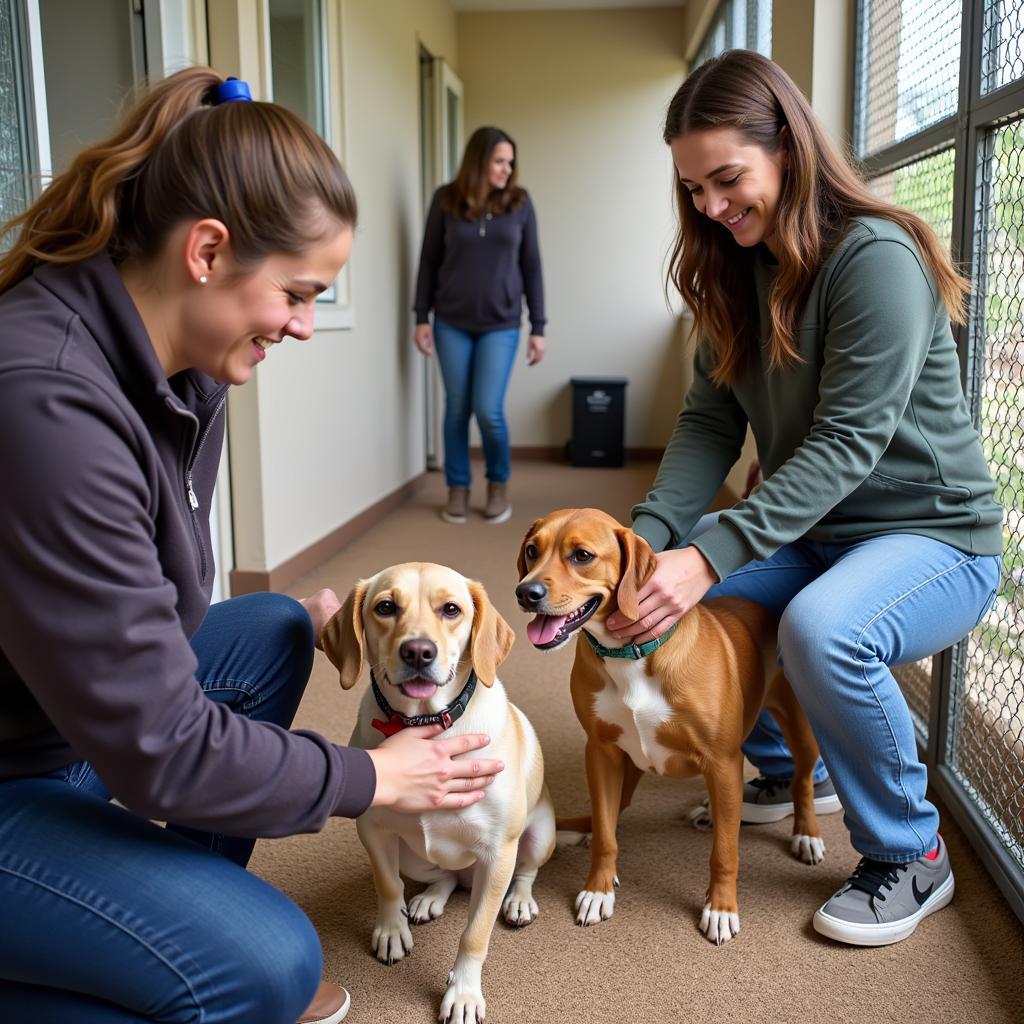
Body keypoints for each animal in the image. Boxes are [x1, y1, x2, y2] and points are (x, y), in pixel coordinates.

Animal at [323, 565, 557, 1019]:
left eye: (451, 609)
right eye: (385, 607)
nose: (418, 652)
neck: (425, 725)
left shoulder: (498, 854)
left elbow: (474, 935)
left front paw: (463, 993)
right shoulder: (374, 832)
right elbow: (387, 886)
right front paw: (391, 929)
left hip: (538, 836)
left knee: (527, 871)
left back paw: (519, 900)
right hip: (414, 857)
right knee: (445, 877)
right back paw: (429, 898)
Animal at [512, 509, 823, 942]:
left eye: (582, 556)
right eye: (531, 550)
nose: (526, 593)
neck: (630, 653)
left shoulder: (723, 762)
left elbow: (725, 851)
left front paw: (721, 908)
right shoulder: (601, 754)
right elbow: (606, 836)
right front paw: (598, 890)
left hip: (799, 729)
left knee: (802, 781)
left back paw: (806, 834)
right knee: (609, 816)